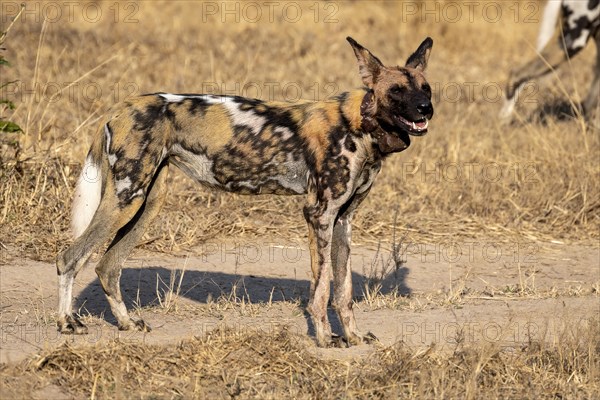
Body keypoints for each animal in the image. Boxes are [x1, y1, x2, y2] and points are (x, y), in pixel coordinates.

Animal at [56, 36, 434, 346]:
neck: (360, 126)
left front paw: (353, 337)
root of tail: (120, 106)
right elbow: (323, 286)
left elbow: (343, 289)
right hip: (126, 200)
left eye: (426, 89)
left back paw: (126, 323)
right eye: (397, 91)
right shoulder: (319, 214)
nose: (425, 109)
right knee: (69, 257)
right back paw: (66, 323)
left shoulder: (343, 220)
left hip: (146, 202)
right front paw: (326, 339)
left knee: (107, 266)